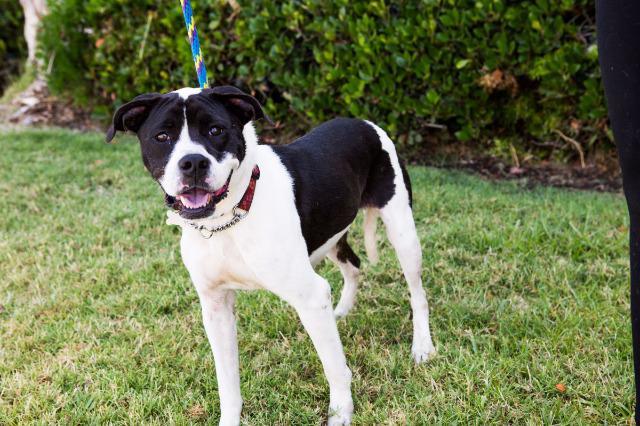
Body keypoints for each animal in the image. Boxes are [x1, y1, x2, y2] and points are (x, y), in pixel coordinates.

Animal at [107, 85, 438, 424]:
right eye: (162, 136)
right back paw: (343, 310)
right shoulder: (215, 307)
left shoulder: (310, 296)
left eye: (216, 130)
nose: (193, 163)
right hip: (332, 232)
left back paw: (422, 346)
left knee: (417, 293)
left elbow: (334, 366)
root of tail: (363, 122)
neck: (228, 219)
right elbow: (227, 380)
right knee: (354, 266)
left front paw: (341, 412)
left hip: (402, 232)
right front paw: (230, 418)